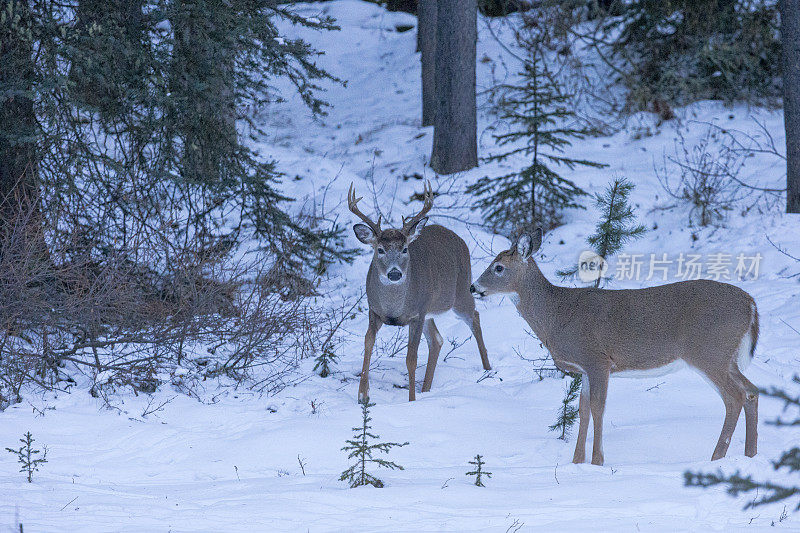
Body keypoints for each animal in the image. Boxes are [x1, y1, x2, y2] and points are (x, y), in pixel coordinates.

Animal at [348, 181, 490, 402]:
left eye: (405, 249)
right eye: (380, 249)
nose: (395, 273)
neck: (394, 308)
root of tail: (456, 236)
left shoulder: (416, 314)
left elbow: (411, 359)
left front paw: (411, 400)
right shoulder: (374, 310)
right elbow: (368, 344)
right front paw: (363, 395)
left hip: (460, 292)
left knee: (474, 317)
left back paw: (488, 370)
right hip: (430, 311)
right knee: (437, 340)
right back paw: (426, 389)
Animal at [472, 227, 760, 464]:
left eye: (498, 267)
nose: (474, 287)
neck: (557, 315)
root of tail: (750, 303)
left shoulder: (597, 359)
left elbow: (598, 408)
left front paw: (597, 461)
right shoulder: (585, 369)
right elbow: (583, 409)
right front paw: (576, 462)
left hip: (708, 352)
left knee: (734, 397)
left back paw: (716, 457)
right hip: (726, 357)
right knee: (752, 391)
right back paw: (750, 454)